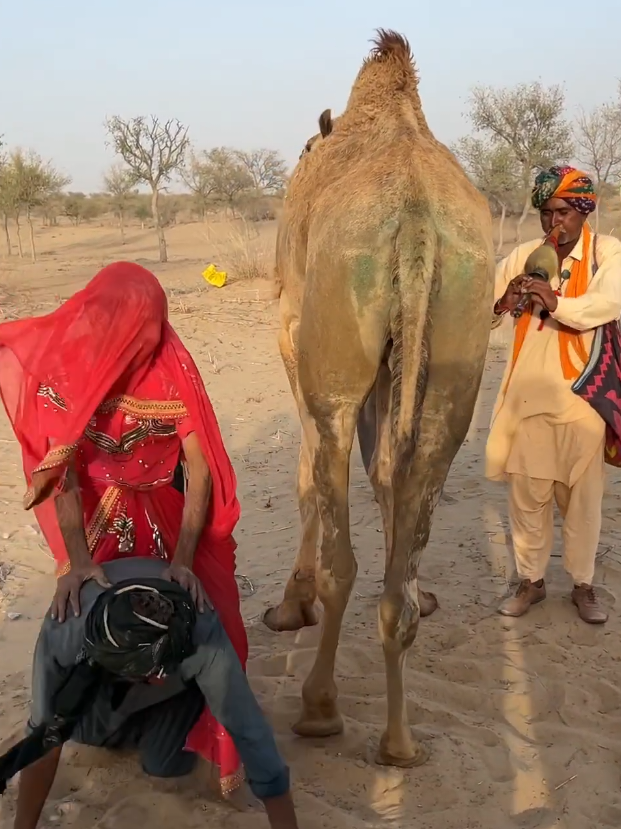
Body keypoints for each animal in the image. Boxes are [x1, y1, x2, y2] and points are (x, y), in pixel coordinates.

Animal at [265, 30, 494, 768]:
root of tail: (416, 219)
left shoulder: (290, 332)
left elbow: (305, 474)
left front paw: (290, 604)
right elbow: (386, 474)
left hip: (338, 344)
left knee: (342, 543)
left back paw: (319, 707)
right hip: (456, 347)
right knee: (413, 470)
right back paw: (398, 738)